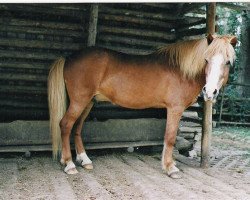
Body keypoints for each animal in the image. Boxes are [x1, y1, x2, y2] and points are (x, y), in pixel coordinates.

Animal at [47, 34, 237, 178]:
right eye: (206, 59)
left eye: (227, 62)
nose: (209, 92)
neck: (182, 70)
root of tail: (69, 58)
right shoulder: (174, 109)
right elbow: (170, 137)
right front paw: (170, 168)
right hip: (80, 101)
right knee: (66, 125)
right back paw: (69, 164)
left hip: (88, 102)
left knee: (77, 128)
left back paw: (84, 160)